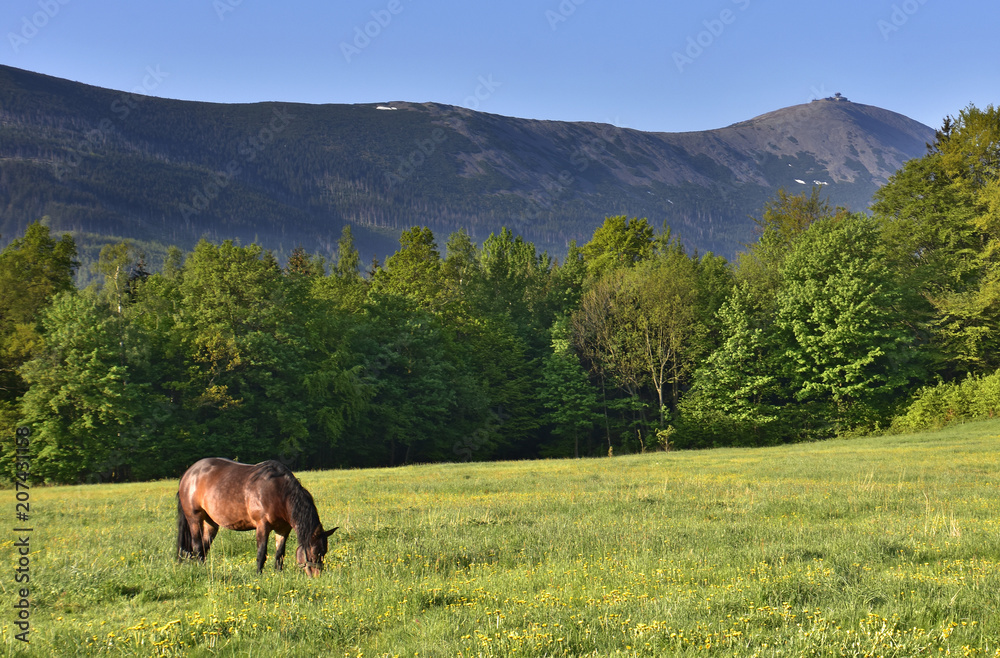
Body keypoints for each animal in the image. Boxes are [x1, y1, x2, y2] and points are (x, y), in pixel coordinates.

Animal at [178, 456, 338, 576]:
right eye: (316, 551)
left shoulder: (283, 529)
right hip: (194, 519)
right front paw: (258, 575)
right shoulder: (262, 526)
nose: (317, 576)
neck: (280, 493)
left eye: (324, 552)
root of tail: (189, 473)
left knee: (204, 547)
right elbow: (261, 553)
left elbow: (280, 553)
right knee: (197, 546)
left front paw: (278, 574)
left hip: (211, 523)